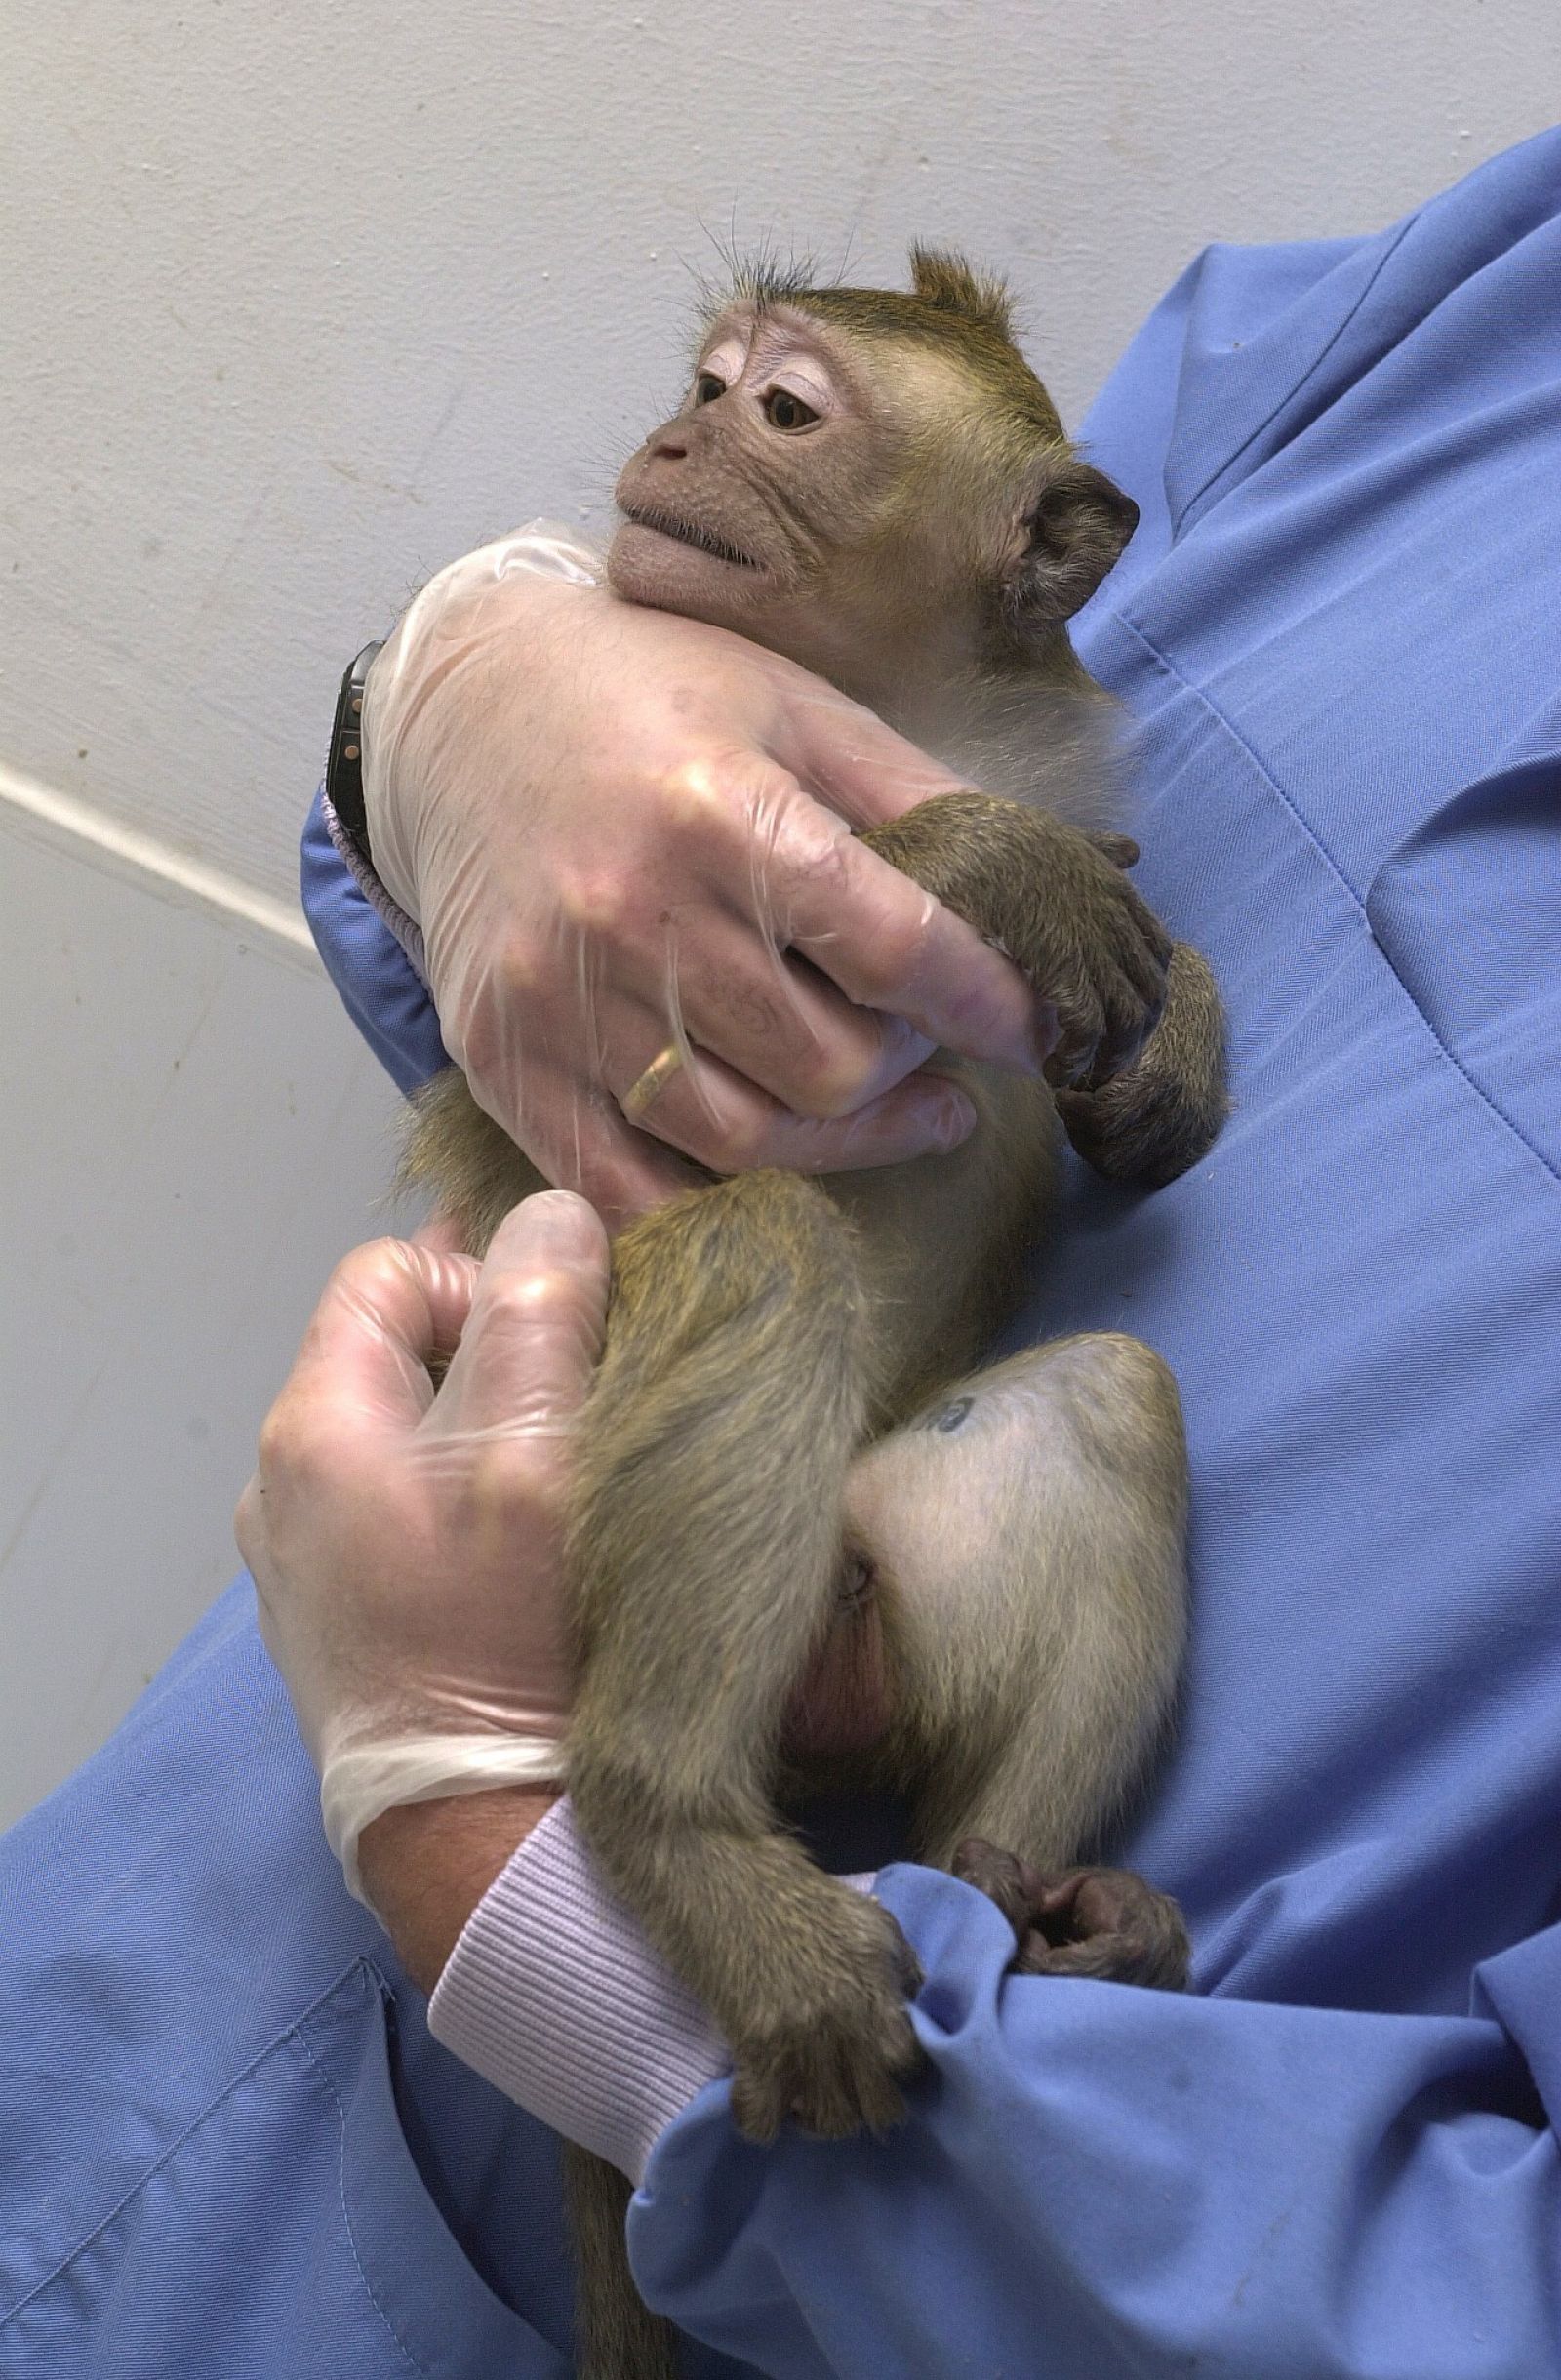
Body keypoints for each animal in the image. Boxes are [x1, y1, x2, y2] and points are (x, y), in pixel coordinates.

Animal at [397, 251, 1227, 2370]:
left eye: (779, 410)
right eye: (705, 386)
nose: (671, 434)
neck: (902, 699)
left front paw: (1163, 1056)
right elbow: (732, 932)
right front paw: (972, 864)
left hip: (864, 1611)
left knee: (1101, 1401)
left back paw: (1034, 1910)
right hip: (592, 1432)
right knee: (762, 1240)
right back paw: (677, 1826)